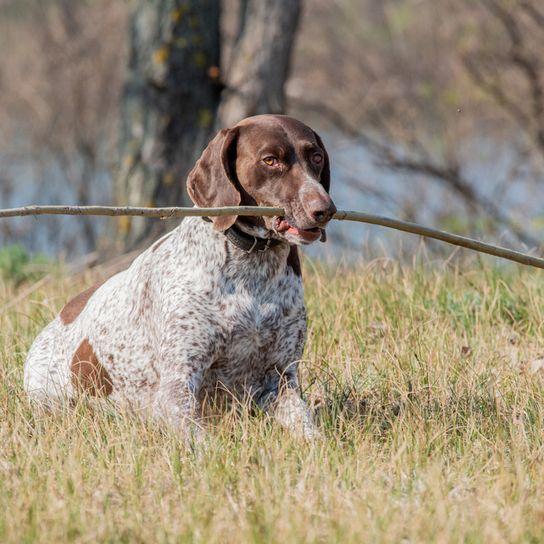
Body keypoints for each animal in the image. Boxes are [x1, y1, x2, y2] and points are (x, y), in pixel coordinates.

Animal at [24, 115, 336, 438]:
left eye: (316, 157)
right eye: (270, 160)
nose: (324, 209)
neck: (252, 269)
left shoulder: (280, 381)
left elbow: (311, 433)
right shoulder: (177, 388)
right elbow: (202, 442)